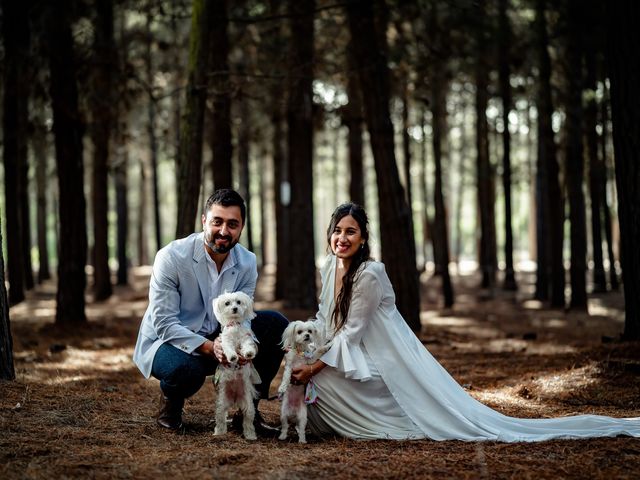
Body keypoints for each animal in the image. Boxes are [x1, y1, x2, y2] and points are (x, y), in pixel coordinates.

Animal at [212, 290, 258, 440]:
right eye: (227, 303)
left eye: (238, 302)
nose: (235, 308)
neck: (235, 326)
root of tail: (235, 398)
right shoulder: (226, 341)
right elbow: (229, 348)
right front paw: (232, 357)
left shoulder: (245, 338)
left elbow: (247, 345)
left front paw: (249, 353)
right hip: (221, 404)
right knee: (220, 419)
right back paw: (219, 433)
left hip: (249, 406)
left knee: (248, 422)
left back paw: (250, 436)